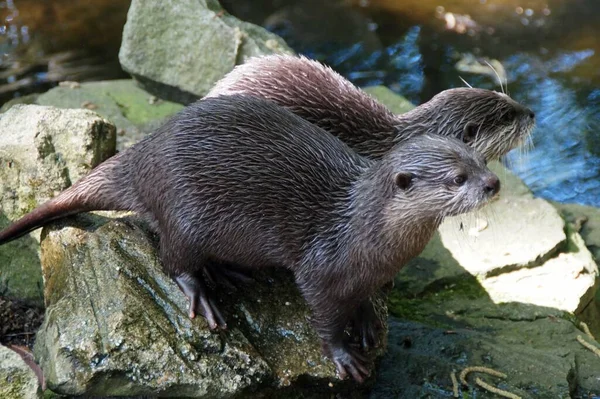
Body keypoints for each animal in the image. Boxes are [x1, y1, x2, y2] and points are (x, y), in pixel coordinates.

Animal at [0, 95, 496, 382]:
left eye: (479, 160)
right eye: (457, 178)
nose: (493, 184)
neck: (363, 226)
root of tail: (143, 158)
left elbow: (362, 298)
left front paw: (367, 321)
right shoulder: (322, 268)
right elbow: (324, 314)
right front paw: (343, 354)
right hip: (186, 213)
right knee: (171, 256)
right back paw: (204, 296)